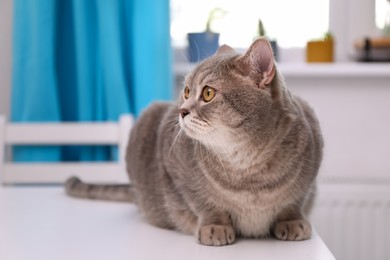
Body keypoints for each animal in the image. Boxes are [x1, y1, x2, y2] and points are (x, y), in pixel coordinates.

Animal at [66, 38, 322, 246]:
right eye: (187, 91)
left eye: (208, 93)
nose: (181, 111)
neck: (247, 166)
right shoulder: (176, 169)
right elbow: (204, 202)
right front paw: (215, 226)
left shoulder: (311, 162)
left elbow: (294, 201)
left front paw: (292, 221)